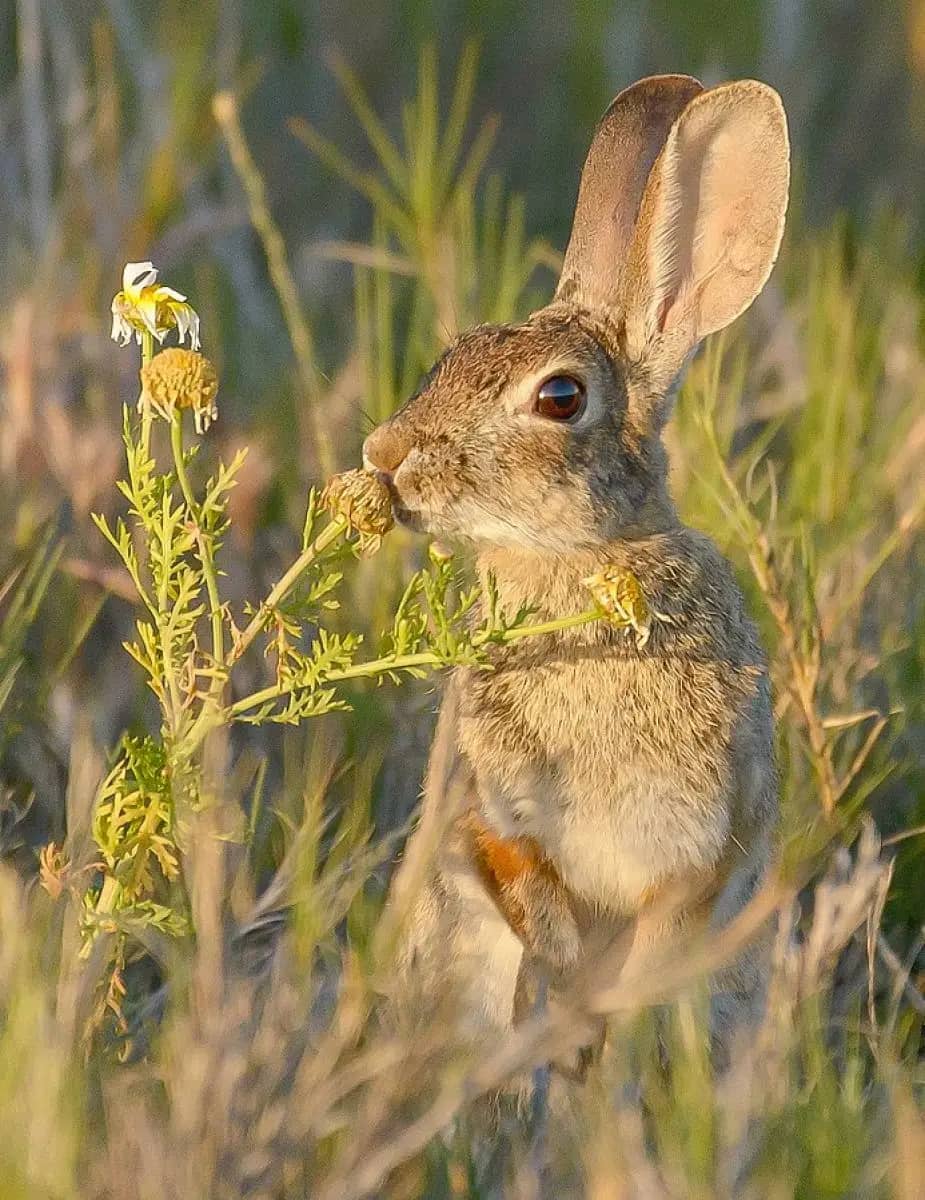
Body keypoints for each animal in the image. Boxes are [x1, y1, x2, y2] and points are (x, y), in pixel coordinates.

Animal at [366, 74, 789, 1064]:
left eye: (559, 397)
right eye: (453, 355)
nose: (384, 456)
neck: (581, 565)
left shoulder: (702, 851)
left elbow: (657, 945)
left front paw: (608, 1032)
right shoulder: (495, 817)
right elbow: (526, 892)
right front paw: (563, 1006)